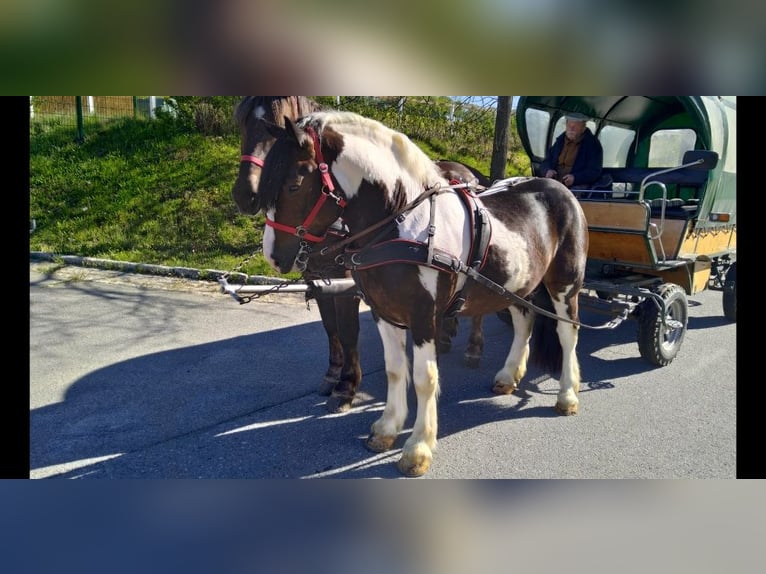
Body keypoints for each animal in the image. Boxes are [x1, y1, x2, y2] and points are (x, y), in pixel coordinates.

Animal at [231, 97, 489, 414]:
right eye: (242, 124)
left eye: (294, 186)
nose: (245, 195)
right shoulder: (319, 280)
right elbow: (331, 328)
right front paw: (332, 375)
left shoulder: (348, 284)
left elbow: (347, 330)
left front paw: (346, 386)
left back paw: (473, 347)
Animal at [257, 110, 589, 477]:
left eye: (294, 185)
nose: (273, 257)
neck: (403, 222)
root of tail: (559, 187)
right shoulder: (384, 313)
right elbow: (395, 369)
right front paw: (387, 430)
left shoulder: (424, 317)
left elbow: (424, 377)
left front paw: (418, 448)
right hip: (515, 285)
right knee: (524, 321)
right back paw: (508, 376)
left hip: (564, 283)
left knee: (568, 331)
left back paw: (567, 394)